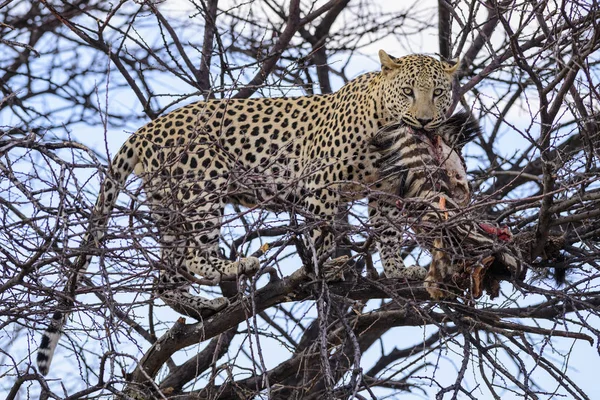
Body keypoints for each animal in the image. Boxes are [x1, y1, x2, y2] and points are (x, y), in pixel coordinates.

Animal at [36, 50, 460, 376]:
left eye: (438, 92)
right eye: (408, 91)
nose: (424, 120)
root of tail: (145, 130)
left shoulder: (385, 189)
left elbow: (388, 231)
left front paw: (397, 270)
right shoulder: (320, 181)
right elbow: (321, 231)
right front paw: (326, 268)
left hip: (168, 204)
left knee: (165, 276)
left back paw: (204, 306)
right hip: (203, 185)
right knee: (195, 253)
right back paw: (234, 267)